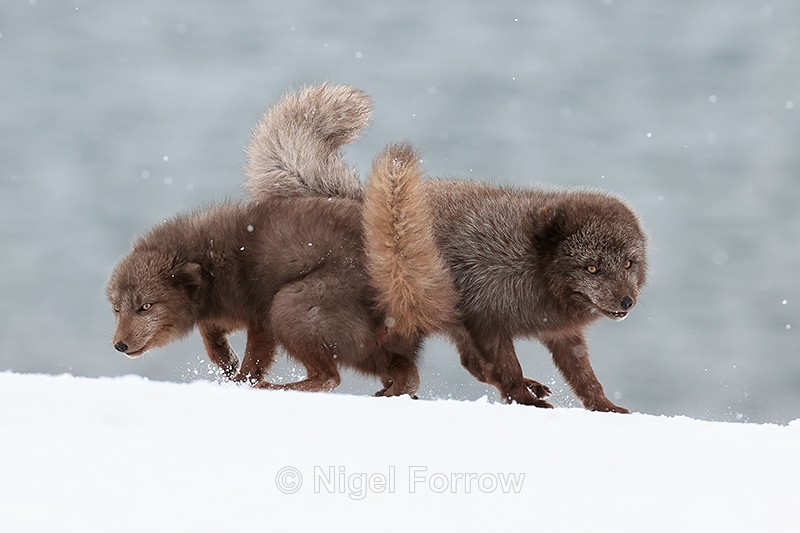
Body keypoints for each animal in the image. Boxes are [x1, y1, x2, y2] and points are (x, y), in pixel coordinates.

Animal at [107, 85, 456, 397]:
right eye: (116, 309)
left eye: (145, 306)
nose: (119, 345)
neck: (209, 260)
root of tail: (399, 293)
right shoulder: (226, 312)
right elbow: (211, 336)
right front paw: (226, 361)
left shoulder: (259, 317)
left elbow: (253, 361)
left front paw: (241, 382)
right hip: (368, 349)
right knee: (406, 375)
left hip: (290, 306)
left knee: (330, 378)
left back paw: (278, 387)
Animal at [245, 84, 648, 412]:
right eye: (592, 268)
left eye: (629, 264)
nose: (627, 301)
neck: (530, 265)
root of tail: (357, 201)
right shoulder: (488, 320)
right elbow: (508, 367)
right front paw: (524, 399)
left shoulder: (560, 333)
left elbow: (584, 376)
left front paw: (606, 408)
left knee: (467, 365)